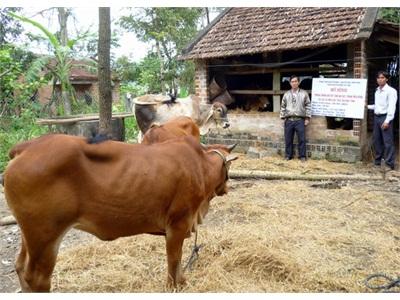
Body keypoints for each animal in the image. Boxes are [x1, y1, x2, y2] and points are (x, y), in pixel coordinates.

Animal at [2, 133, 238, 290]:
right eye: (229, 166)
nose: (227, 188)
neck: (200, 165)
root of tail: (26, 147)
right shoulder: (178, 223)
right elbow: (174, 259)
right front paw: (175, 285)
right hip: (45, 236)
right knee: (37, 278)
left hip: (29, 234)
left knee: (20, 267)